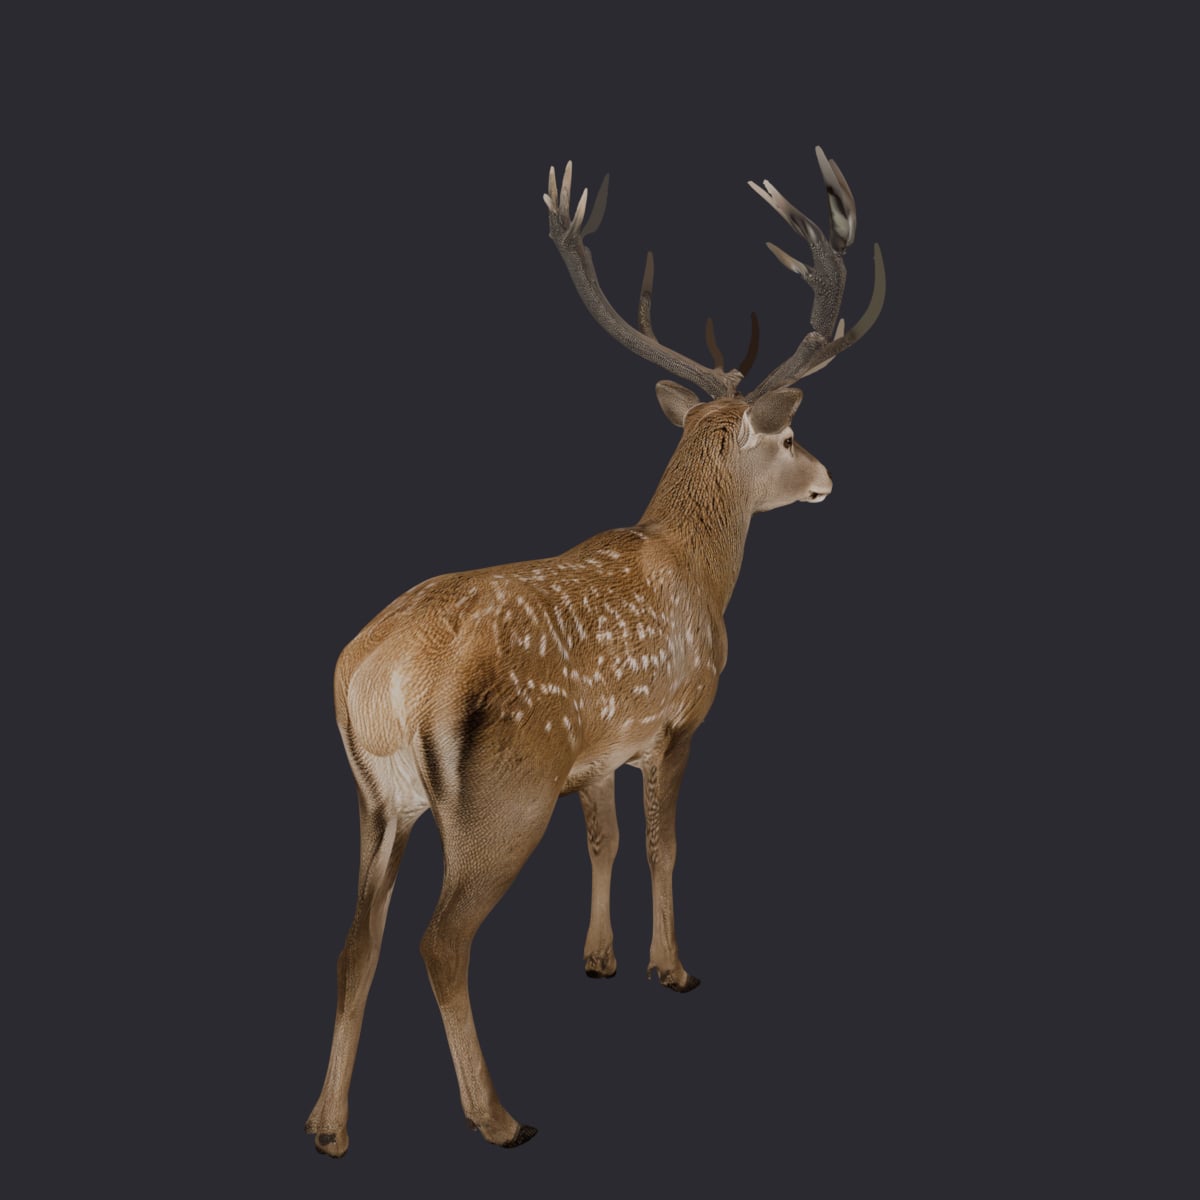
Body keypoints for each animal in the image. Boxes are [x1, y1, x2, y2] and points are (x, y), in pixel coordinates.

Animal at [305, 146, 885, 1155]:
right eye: (787, 435)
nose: (827, 480)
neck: (699, 570)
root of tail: (376, 677)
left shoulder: (596, 752)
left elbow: (606, 840)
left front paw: (600, 957)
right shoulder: (678, 720)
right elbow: (664, 844)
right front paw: (670, 966)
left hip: (379, 801)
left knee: (355, 941)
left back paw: (328, 1124)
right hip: (500, 796)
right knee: (440, 940)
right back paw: (497, 1116)